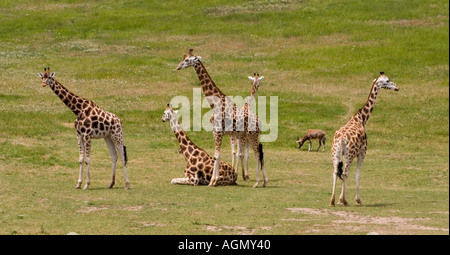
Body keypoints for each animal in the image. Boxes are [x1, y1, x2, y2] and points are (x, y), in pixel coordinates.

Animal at [176, 49, 268, 187]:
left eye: (187, 60)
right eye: (183, 58)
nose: (178, 67)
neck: (215, 103)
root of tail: (259, 122)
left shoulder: (218, 132)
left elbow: (217, 155)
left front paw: (213, 181)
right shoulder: (218, 132)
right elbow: (218, 155)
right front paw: (214, 180)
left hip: (252, 135)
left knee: (257, 153)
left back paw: (257, 182)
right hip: (249, 135)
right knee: (257, 153)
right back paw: (264, 181)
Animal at [328, 70, 400, 206]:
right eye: (387, 80)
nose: (397, 87)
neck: (361, 119)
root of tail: (341, 140)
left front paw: (340, 200)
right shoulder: (362, 152)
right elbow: (358, 174)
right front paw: (357, 200)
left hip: (335, 153)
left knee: (335, 172)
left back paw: (332, 201)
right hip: (349, 154)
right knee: (345, 173)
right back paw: (345, 201)